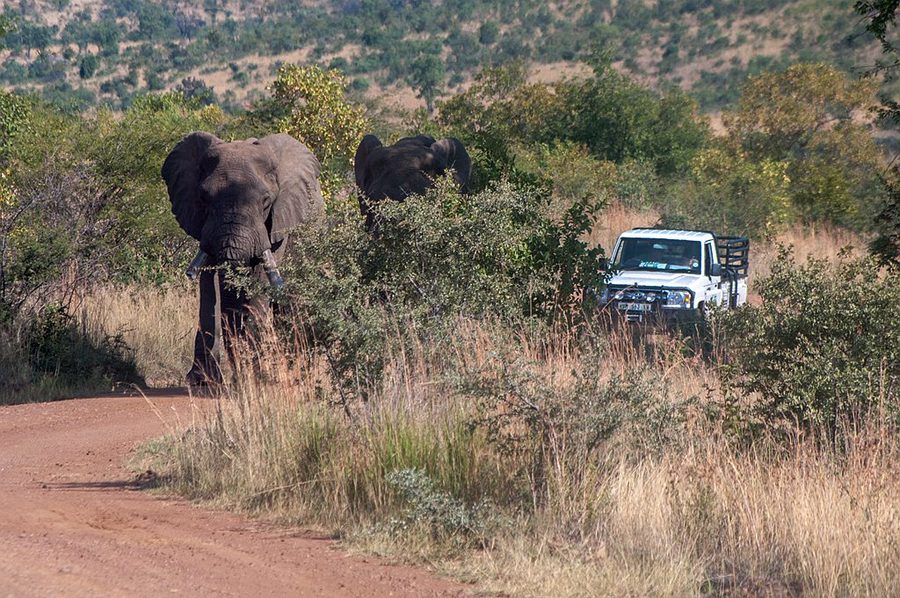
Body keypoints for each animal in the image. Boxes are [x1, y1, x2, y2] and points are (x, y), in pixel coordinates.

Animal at [162, 131, 324, 390]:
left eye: (266, 201)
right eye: (204, 198)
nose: (238, 375)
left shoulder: (277, 226)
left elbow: (259, 282)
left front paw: (257, 378)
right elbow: (209, 287)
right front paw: (202, 380)